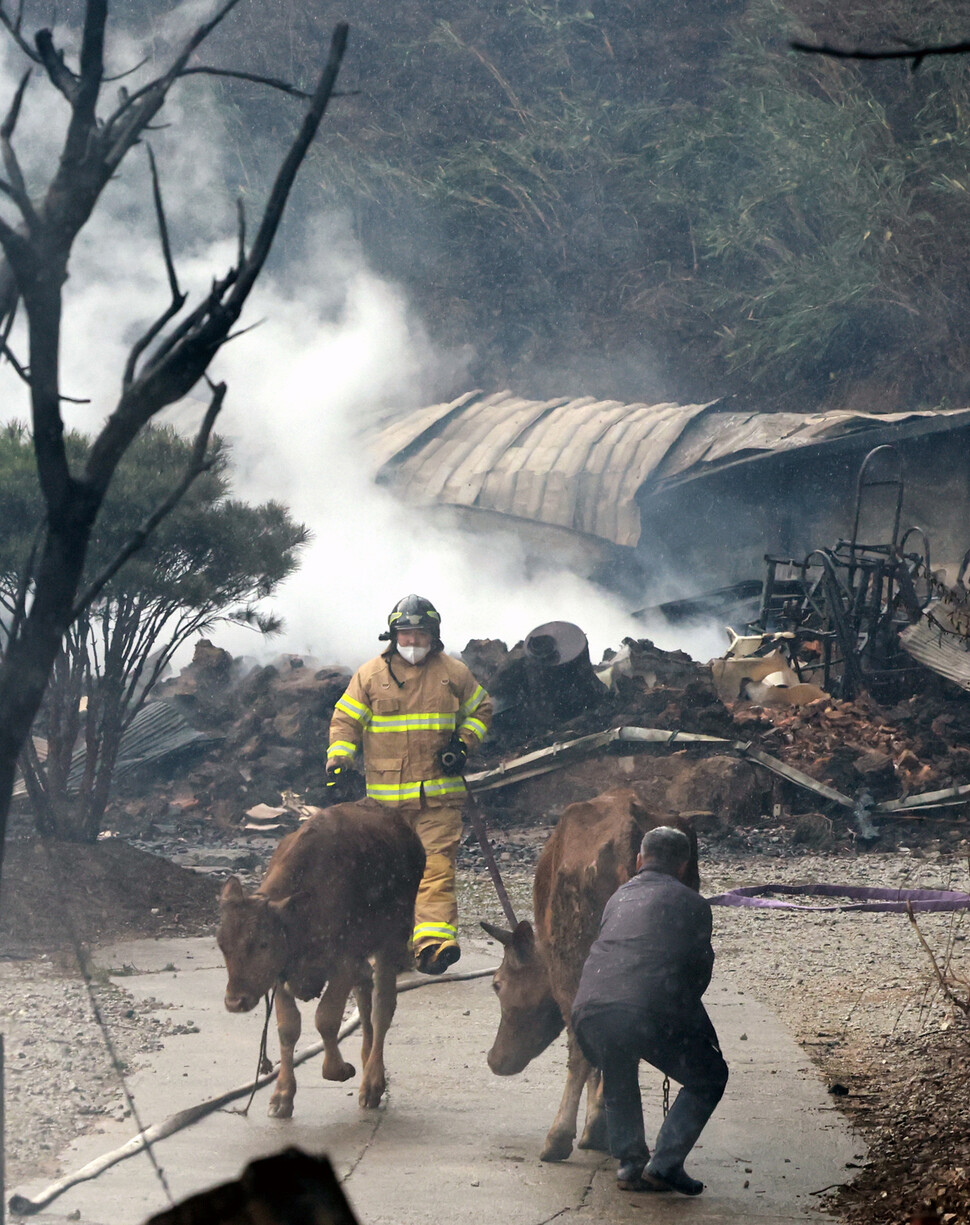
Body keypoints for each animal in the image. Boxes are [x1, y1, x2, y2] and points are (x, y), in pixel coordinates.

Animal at [219, 798, 423, 1117]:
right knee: (365, 996)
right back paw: (366, 1065)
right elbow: (288, 1029)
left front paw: (339, 1070)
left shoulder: (343, 963)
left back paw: (372, 1083)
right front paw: (281, 1096)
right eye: (222, 945)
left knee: (381, 1009)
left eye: (263, 943)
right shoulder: (280, 975)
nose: (234, 1001)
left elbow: (325, 1019)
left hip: (390, 942)